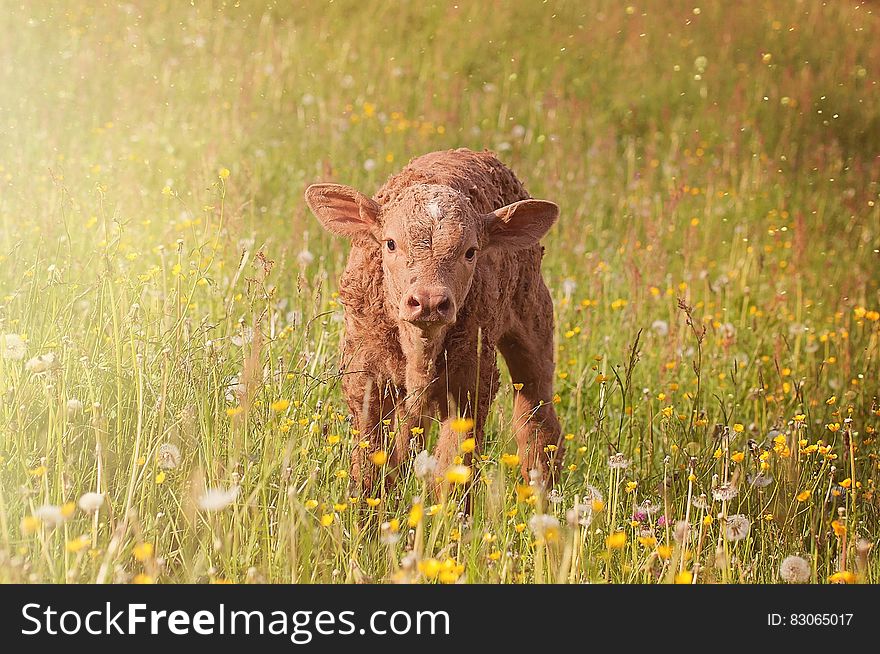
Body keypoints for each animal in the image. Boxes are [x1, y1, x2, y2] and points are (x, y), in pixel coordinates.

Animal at [306, 150, 560, 498]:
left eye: (471, 252)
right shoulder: (366, 380)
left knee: (537, 419)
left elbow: (453, 470)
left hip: (534, 321)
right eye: (390, 244)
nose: (428, 301)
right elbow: (372, 469)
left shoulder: (472, 384)